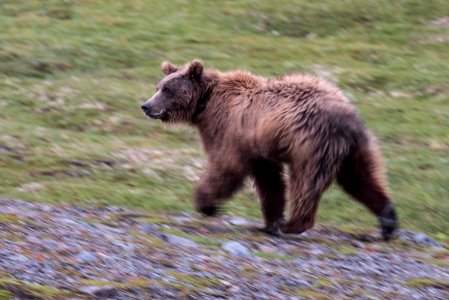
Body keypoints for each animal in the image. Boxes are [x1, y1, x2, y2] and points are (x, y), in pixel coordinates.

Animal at [142, 59, 398, 240]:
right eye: (158, 86)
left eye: (168, 89)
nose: (146, 105)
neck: (205, 104)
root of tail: (347, 115)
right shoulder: (257, 147)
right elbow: (269, 181)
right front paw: (270, 222)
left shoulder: (229, 131)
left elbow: (226, 166)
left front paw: (207, 204)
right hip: (354, 150)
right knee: (360, 178)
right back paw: (388, 220)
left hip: (312, 144)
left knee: (307, 181)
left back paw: (294, 224)